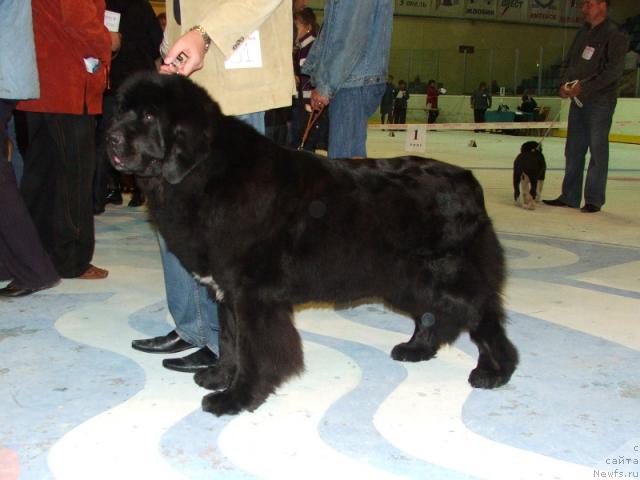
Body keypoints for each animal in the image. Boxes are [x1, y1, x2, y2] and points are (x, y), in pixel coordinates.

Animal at [107, 72, 520, 416]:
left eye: (149, 116)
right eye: (123, 111)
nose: (109, 137)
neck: (205, 173)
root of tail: (469, 180)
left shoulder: (254, 295)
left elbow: (254, 350)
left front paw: (237, 398)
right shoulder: (227, 292)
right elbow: (228, 339)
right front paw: (218, 377)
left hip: (449, 279)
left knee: (484, 319)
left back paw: (495, 371)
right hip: (410, 279)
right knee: (431, 315)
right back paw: (416, 349)